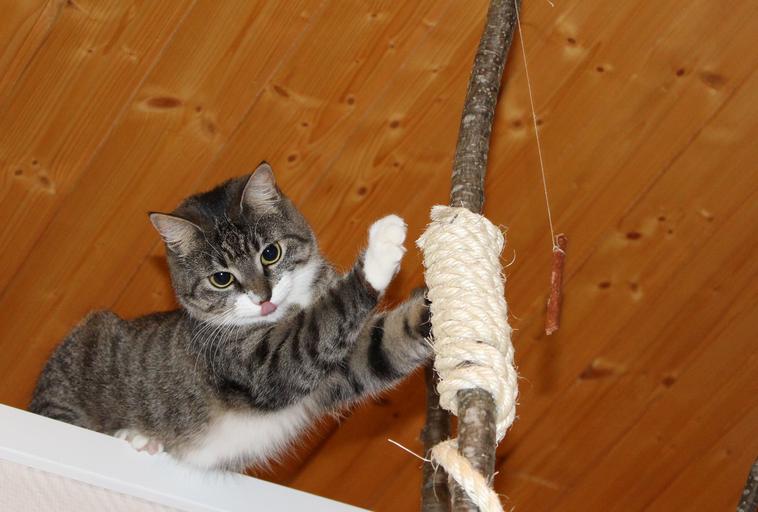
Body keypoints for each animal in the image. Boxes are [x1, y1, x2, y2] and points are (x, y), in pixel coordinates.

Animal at [29, 162, 432, 471]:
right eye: (221, 278)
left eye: (270, 253)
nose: (263, 298)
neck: (289, 310)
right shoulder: (254, 362)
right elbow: (313, 333)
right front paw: (382, 249)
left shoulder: (343, 366)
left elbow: (382, 346)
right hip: (78, 356)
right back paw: (137, 436)